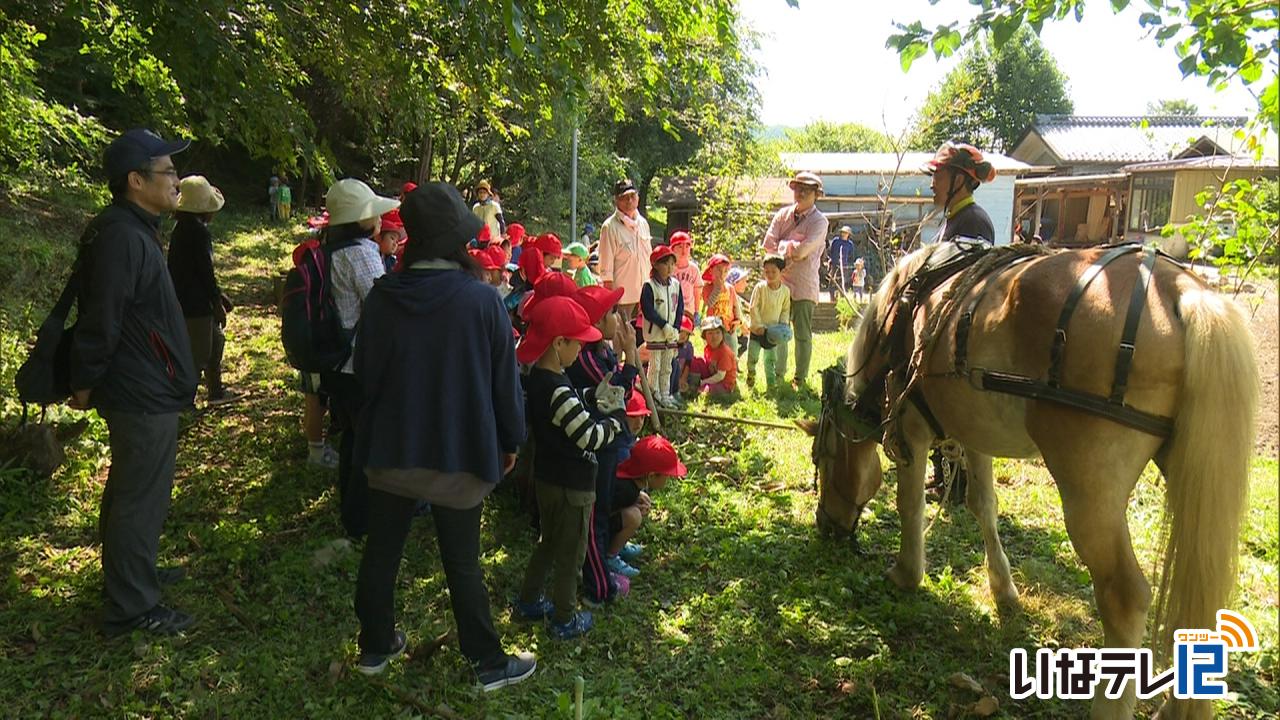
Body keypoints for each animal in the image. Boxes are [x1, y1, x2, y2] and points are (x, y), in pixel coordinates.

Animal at [803, 242, 1254, 717]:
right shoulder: (974, 429)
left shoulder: (911, 426)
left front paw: (907, 572)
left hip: (1089, 489)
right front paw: (1002, 587)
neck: (909, 305)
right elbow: (984, 506)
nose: (826, 525)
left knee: (1125, 597)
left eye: (824, 456)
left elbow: (909, 505)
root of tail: (1178, 288)